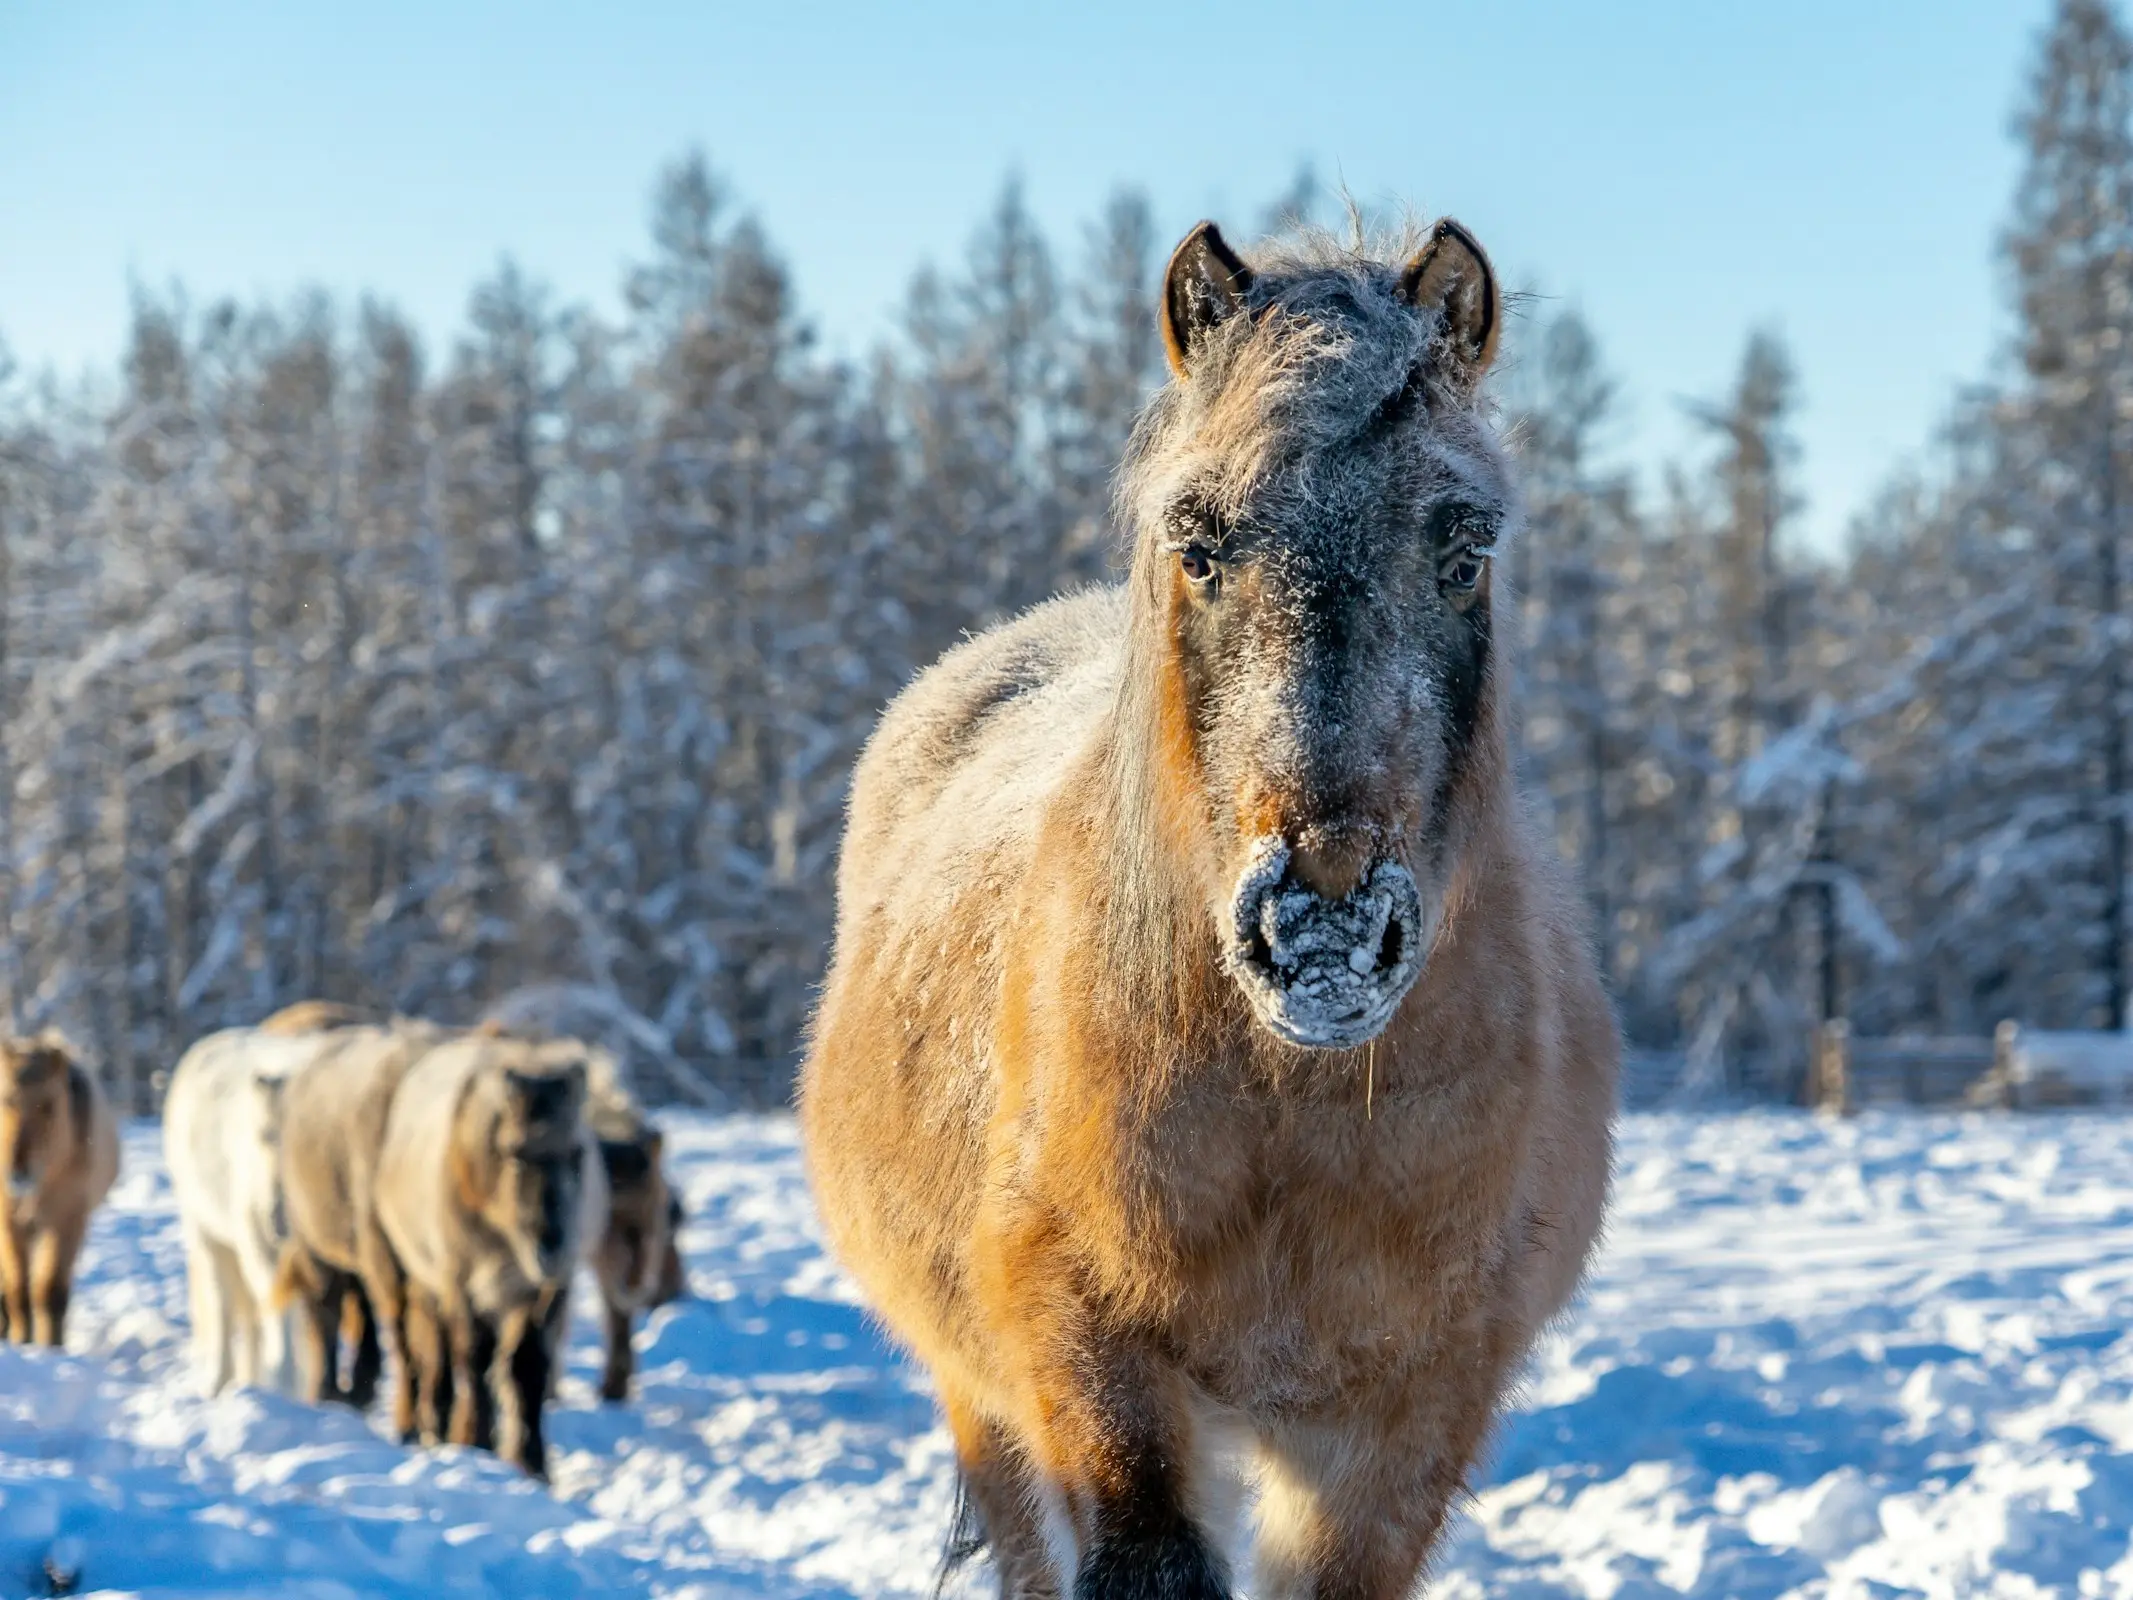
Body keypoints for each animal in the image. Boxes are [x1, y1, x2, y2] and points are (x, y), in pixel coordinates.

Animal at [802, 216, 1612, 1600]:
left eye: (1465, 550)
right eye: (1198, 546)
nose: (1324, 932)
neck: (1294, 1109)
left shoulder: (1408, 1414)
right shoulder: (1088, 1347)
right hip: (982, 1394)